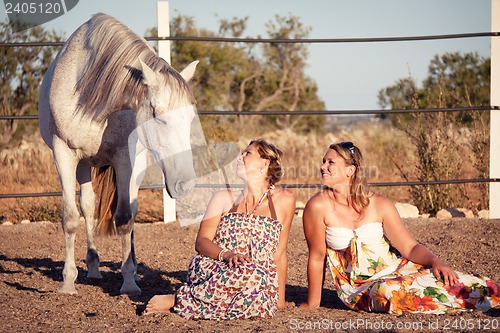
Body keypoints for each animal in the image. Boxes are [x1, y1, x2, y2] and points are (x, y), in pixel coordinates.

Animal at [38, 13, 198, 294]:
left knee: (130, 210)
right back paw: (92, 267)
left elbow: (124, 217)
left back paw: (129, 266)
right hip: (83, 164)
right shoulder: (63, 153)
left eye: (190, 117)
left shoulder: (125, 157)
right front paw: (68, 281)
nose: (185, 184)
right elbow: (70, 217)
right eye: (157, 114)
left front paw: (129, 281)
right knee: (88, 207)